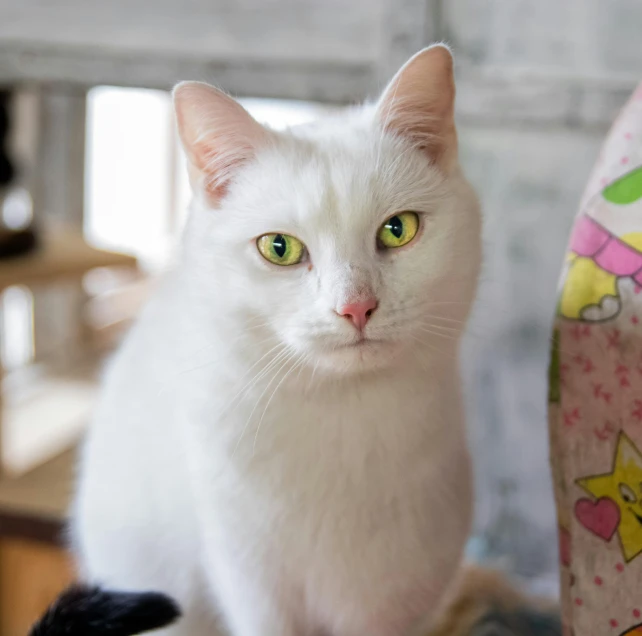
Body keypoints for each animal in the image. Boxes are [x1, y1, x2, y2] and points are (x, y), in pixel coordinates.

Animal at [71, 44, 480, 636]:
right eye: (279, 248)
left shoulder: (382, 601)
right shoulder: (252, 580)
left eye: (398, 228)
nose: (356, 306)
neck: (341, 415)